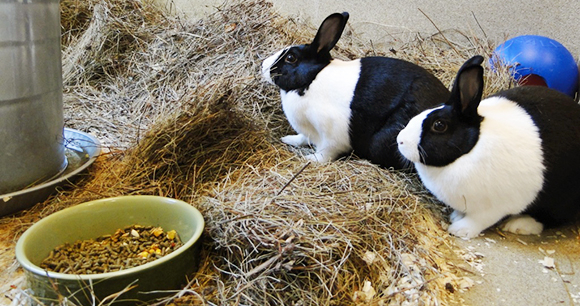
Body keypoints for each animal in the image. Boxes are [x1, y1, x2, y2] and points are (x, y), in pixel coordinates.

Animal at [262, 12, 448, 170]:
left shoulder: (331, 136)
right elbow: (302, 137)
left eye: (290, 58)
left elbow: (325, 153)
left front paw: (309, 159)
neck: (312, 79)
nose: (263, 65)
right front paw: (287, 139)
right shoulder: (308, 132)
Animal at [396, 55, 580, 239]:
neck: (470, 149)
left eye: (439, 125)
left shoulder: (493, 208)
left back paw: (519, 224)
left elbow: (479, 220)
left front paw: (460, 229)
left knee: (551, 218)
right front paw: (456, 216)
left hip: (559, 198)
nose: (400, 140)